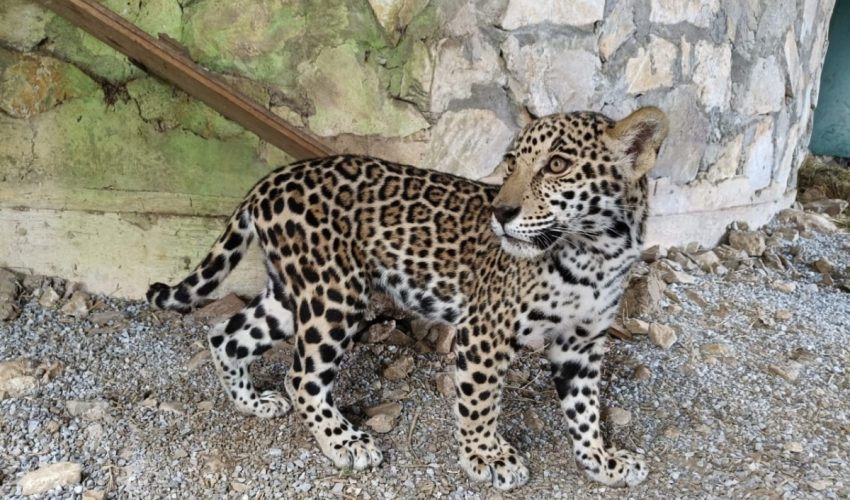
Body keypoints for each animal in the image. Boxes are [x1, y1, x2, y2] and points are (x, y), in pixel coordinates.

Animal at [146, 107, 668, 490]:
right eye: (511, 163)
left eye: (557, 165)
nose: (501, 212)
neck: (596, 253)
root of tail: (271, 180)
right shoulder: (485, 331)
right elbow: (481, 401)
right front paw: (487, 457)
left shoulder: (582, 343)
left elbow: (585, 409)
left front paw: (602, 460)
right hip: (335, 294)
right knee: (303, 376)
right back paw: (345, 443)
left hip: (294, 294)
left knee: (227, 335)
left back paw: (252, 403)